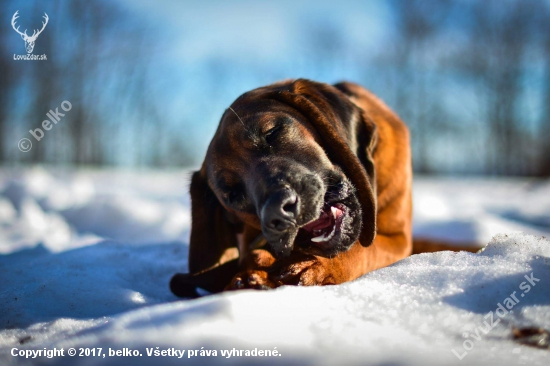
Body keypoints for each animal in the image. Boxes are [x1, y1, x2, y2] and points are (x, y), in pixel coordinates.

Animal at [172, 78, 414, 298]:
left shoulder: (398, 239)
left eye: (272, 132)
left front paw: (315, 266)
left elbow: (365, 250)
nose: (279, 212)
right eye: (232, 195)